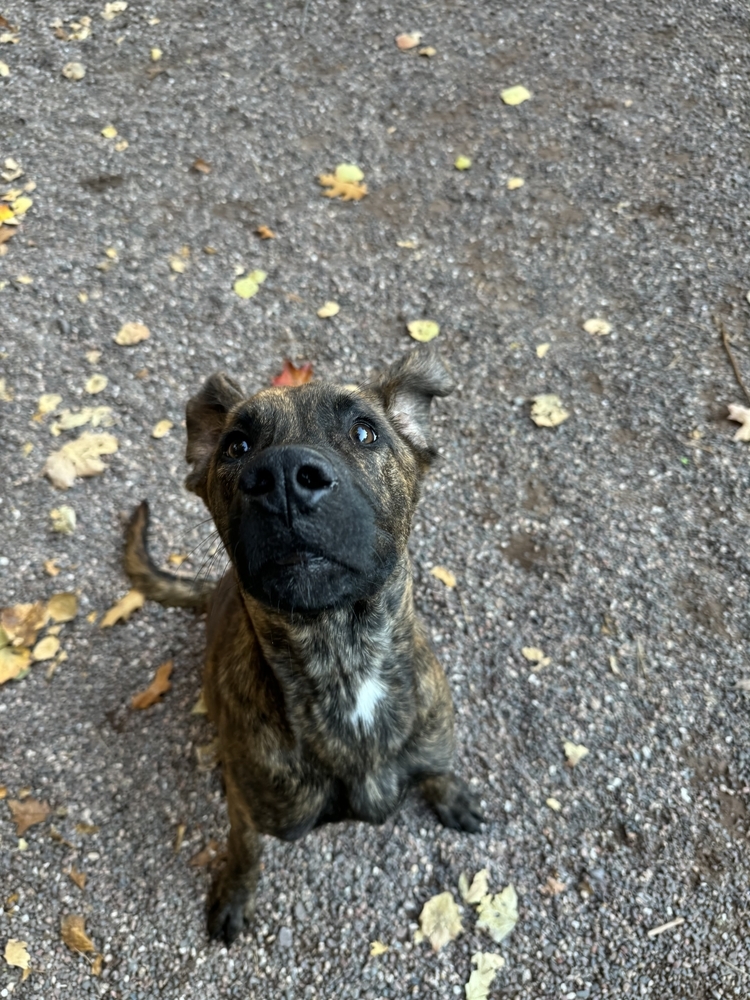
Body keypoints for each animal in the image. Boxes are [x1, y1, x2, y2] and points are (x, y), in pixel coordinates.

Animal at [125, 346, 482, 944]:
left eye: (364, 432)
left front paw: (449, 793)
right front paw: (235, 891)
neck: (342, 657)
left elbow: (437, 771)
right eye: (237, 446)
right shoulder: (251, 810)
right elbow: (245, 850)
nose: (284, 477)